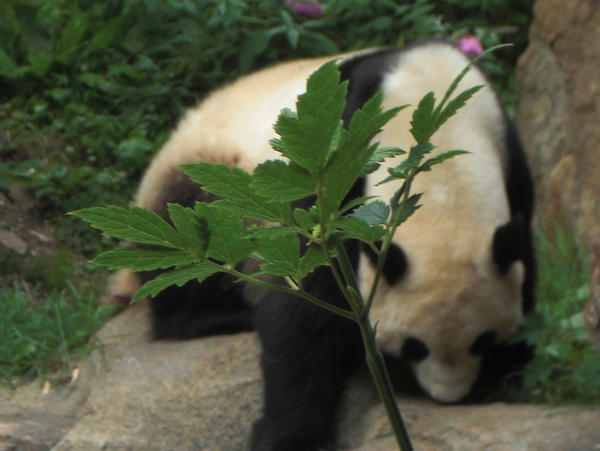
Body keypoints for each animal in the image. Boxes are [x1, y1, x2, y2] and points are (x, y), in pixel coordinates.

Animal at [108, 40, 536, 450]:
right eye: (415, 347)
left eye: (482, 341)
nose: (448, 397)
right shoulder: (329, 165)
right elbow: (304, 306)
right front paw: (288, 436)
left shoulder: (512, 163)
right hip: (206, 176)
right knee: (189, 250)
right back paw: (224, 316)